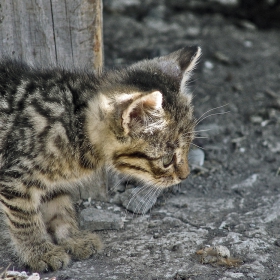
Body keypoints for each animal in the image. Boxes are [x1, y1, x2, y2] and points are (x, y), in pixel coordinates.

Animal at [0, 46, 201, 272]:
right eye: (167, 160)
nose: (185, 175)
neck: (75, 126)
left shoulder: (52, 180)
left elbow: (59, 208)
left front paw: (72, 238)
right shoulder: (16, 178)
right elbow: (24, 219)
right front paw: (39, 251)